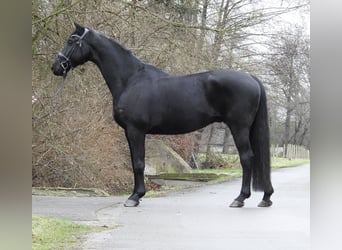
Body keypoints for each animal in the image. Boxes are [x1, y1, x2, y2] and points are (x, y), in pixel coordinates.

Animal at [51, 23, 276, 207]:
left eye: (71, 40)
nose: (55, 67)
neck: (131, 80)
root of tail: (251, 78)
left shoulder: (136, 130)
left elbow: (139, 163)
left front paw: (134, 198)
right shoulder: (130, 132)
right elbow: (135, 162)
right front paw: (137, 194)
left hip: (239, 127)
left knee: (247, 158)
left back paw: (240, 198)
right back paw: (265, 197)